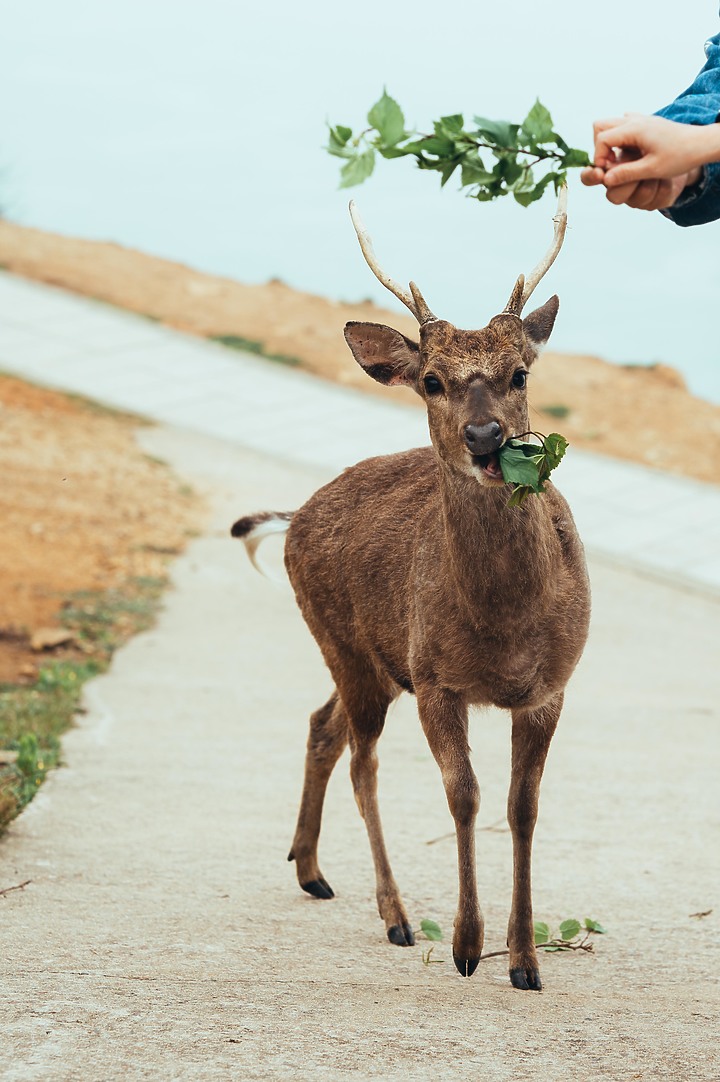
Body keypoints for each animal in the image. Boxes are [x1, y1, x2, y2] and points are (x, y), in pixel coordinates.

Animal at [231, 190, 588, 991]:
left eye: (519, 373)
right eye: (432, 380)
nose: (486, 437)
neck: (505, 629)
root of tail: (295, 516)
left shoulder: (552, 686)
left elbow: (522, 807)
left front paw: (525, 962)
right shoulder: (435, 679)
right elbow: (465, 797)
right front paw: (466, 945)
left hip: (368, 661)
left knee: (322, 723)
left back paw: (310, 869)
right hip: (350, 646)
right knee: (361, 761)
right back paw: (392, 913)